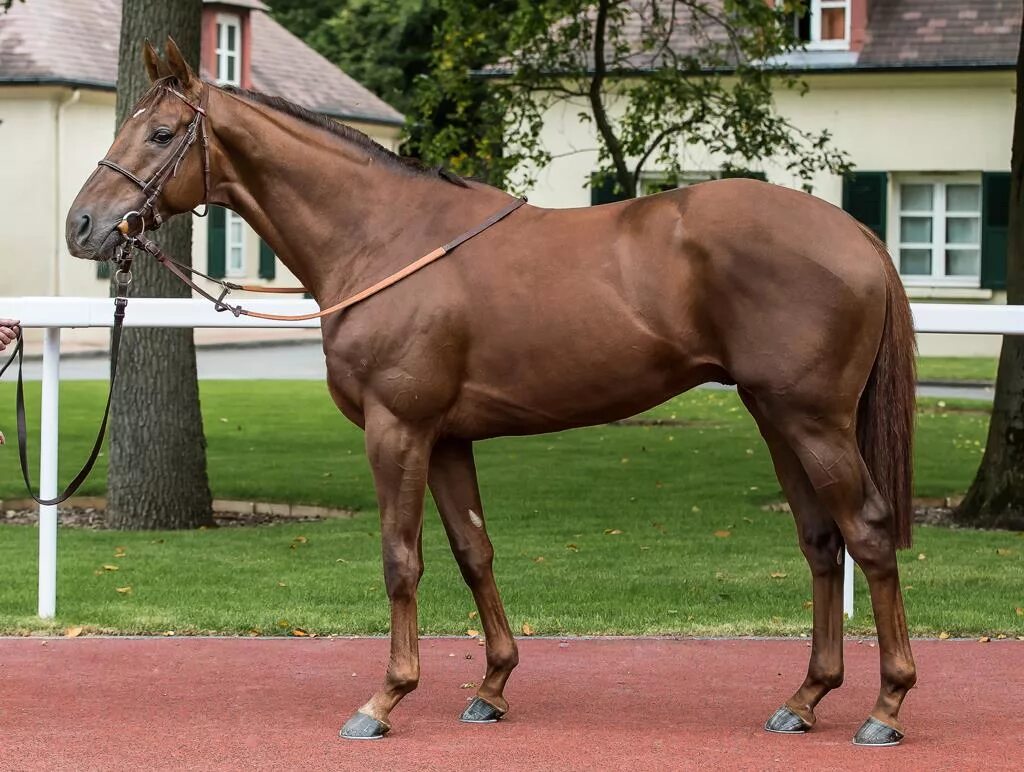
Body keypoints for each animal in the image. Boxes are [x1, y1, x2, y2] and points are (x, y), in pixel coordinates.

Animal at [70, 39, 921, 741]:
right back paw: (805, 698)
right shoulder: (447, 437)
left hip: (813, 421)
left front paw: (386, 698)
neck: (382, 236)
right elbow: (473, 550)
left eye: (159, 133)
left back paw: (885, 706)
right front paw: (492, 686)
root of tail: (858, 237)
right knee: (820, 541)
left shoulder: (397, 429)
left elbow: (401, 559)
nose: (83, 226)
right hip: (776, 417)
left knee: (869, 532)